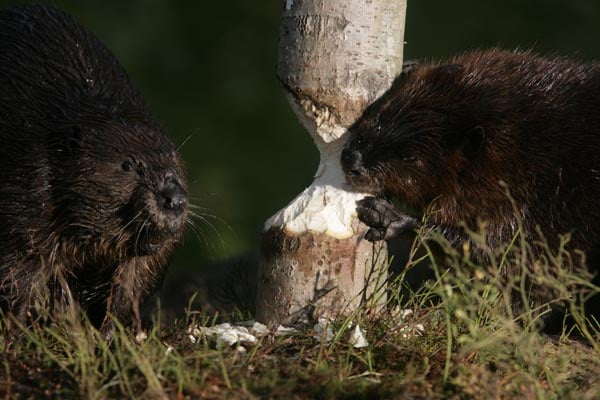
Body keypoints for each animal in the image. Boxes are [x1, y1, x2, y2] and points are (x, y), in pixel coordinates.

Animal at [0, 5, 188, 332]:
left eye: (173, 159)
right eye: (128, 164)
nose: (173, 199)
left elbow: (132, 281)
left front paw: (112, 333)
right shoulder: (25, 197)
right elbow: (21, 271)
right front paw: (20, 331)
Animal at [340, 48, 600, 328]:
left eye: (408, 156)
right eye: (381, 115)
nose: (352, 160)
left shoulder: (534, 205)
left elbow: (496, 253)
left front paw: (387, 216)